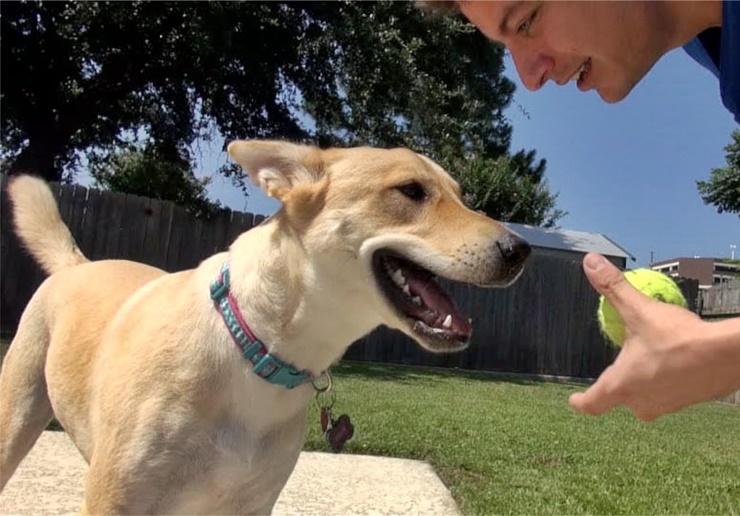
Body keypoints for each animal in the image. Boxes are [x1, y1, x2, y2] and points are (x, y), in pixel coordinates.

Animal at [0, 139, 532, 512]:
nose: (519, 250)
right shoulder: (117, 498)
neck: (257, 350)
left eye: (461, 196)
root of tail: (77, 264)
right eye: (411, 190)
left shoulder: (251, 504)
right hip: (15, 416)